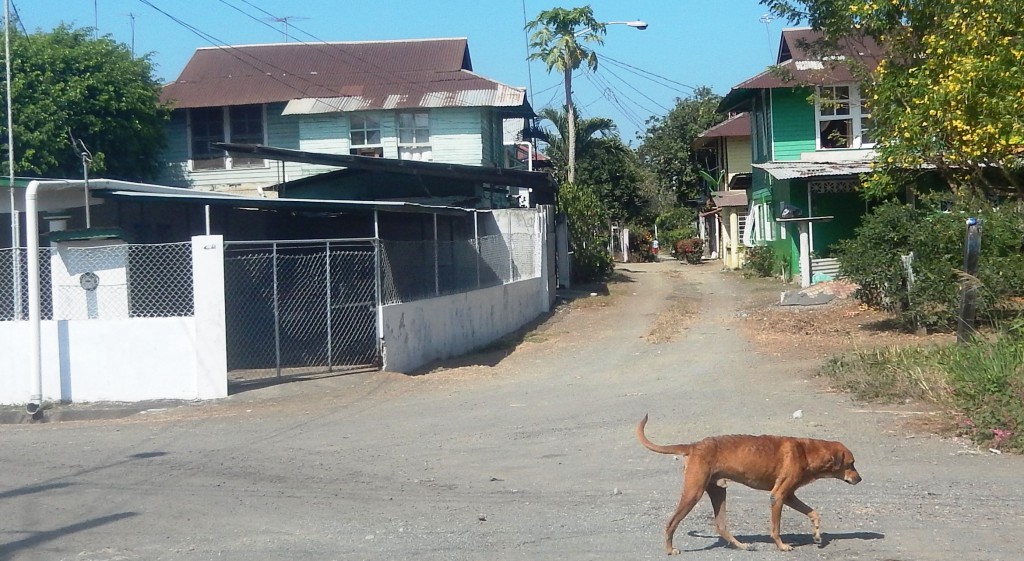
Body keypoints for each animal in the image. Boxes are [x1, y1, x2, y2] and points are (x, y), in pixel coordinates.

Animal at [634, 413, 860, 552]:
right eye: (851, 463)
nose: (859, 479)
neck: (806, 451)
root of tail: (693, 446)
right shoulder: (777, 496)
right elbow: (776, 528)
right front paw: (782, 546)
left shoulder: (788, 496)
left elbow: (813, 513)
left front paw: (818, 536)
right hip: (693, 492)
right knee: (671, 522)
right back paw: (670, 549)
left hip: (718, 492)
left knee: (720, 525)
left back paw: (742, 546)